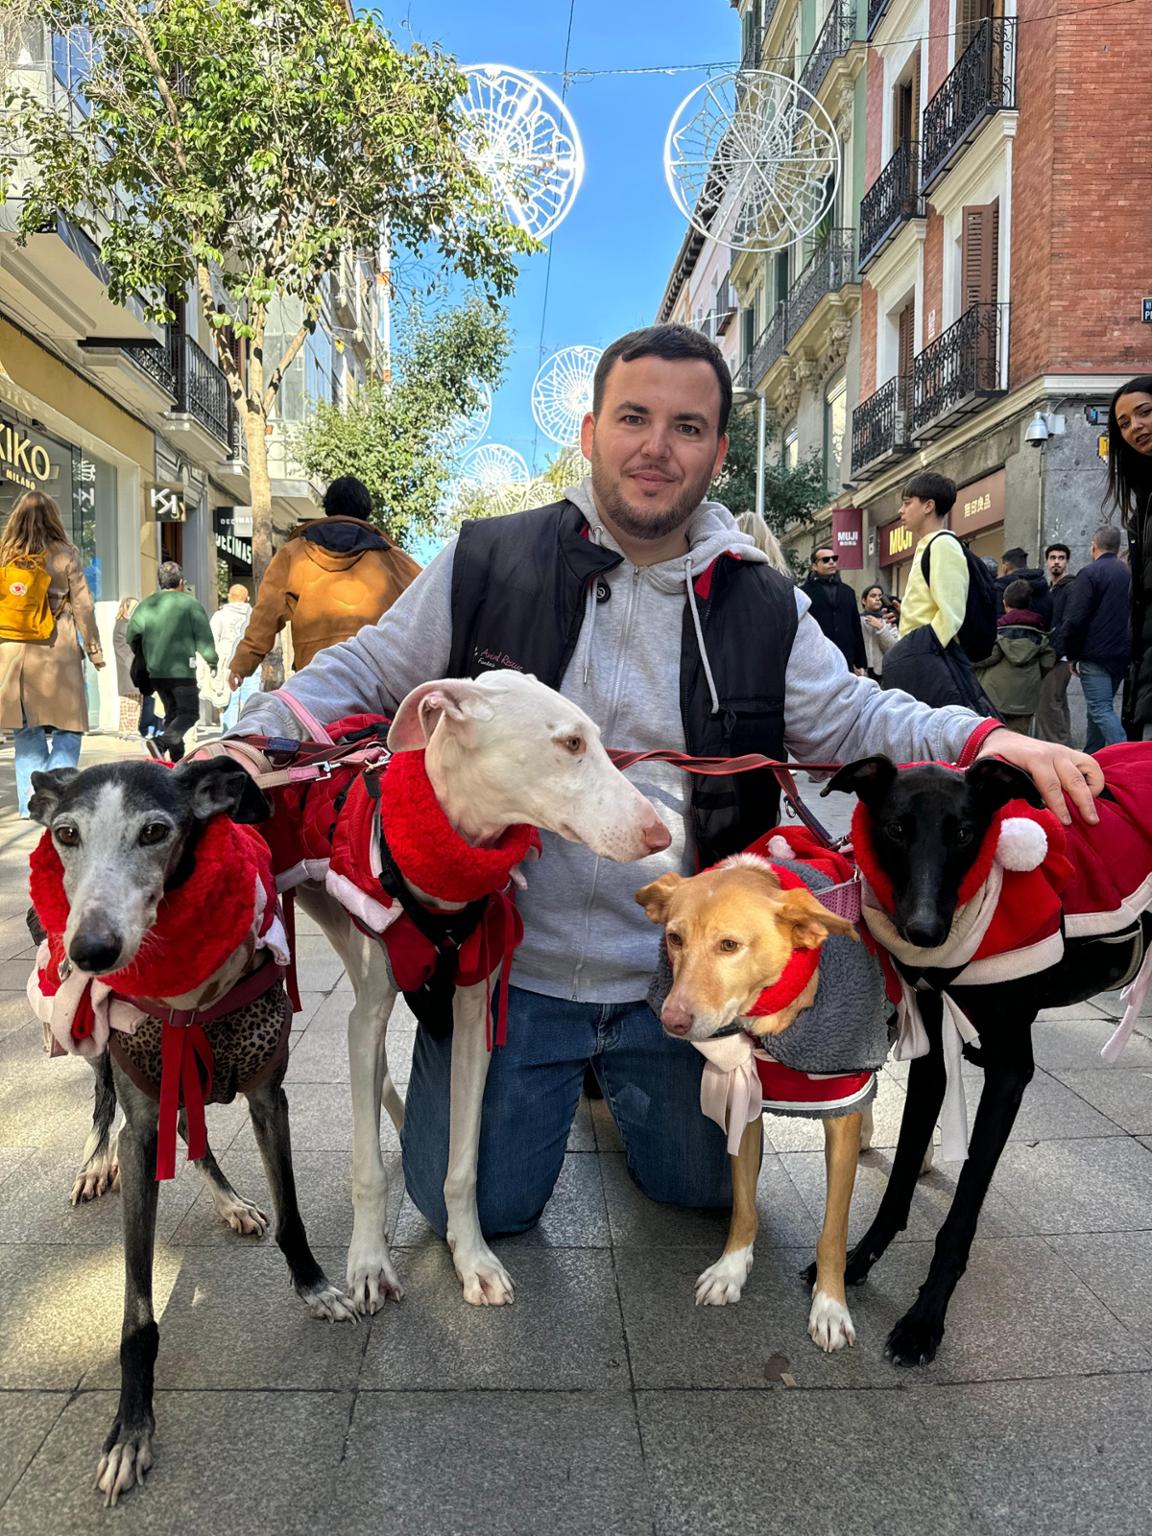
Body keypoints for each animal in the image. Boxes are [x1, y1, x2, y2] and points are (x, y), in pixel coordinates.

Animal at [27, 756, 353, 1505]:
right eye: (65, 833)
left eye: (156, 831)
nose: (91, 951)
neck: (187, 998)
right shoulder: (141, 1122)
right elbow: (137, 1314)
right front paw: (129, 1431)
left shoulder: (268, 1095)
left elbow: (293, 1215)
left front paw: (314, 1287)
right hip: (106, 1052)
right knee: (103, 1098)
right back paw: (94, 1164)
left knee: (192, 1128)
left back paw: (231, 1202)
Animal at [636, 845, 886, 1353]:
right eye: (674, 938)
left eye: (729, 946)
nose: (671, 1021)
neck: (770, 1017)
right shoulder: (743, 1100)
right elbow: (744, 1207)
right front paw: (731, 1269)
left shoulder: (839, 1112)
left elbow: (833, 1233)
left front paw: (830, 1305)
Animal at [826, 746, 1152, 1366]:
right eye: (896, 829)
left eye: (964, 833)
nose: (924, 932)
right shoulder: (932, 1060)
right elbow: (900, 1178)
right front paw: (854, 1261)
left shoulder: (1010, 1074)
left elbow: (961, 1211)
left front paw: (923, 1322)